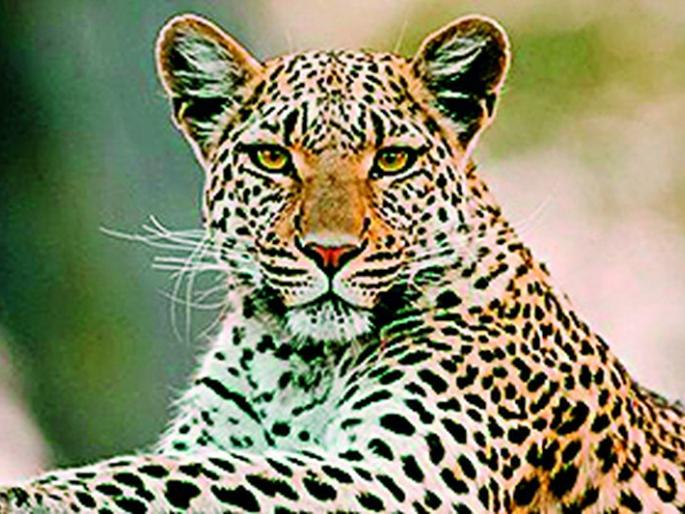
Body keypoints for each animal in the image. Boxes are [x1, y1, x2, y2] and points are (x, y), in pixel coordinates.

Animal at [2, 11, 684, 513]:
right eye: (273, 158)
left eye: (392, 161)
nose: (330, 250)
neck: (297, 366)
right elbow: (189, 463)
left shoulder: (400, 478)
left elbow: (184, 475)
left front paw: (29, 493)